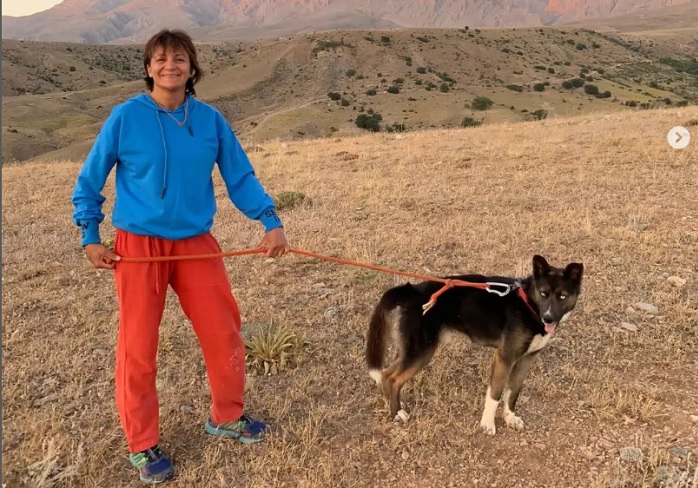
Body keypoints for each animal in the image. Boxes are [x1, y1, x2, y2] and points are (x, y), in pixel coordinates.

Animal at [364, 255, 580, 434]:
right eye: (543, 293)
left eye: (562, 296)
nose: (548, 318)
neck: (529, 305)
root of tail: (413, 291)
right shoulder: (504, 357)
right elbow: (495, 394)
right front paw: (487, 424)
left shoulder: (526, 360)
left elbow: (512, 393)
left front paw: (510, 418)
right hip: (421, 352)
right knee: (393, 379)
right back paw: (397, 413)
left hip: (412, 350)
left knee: (386, 374)